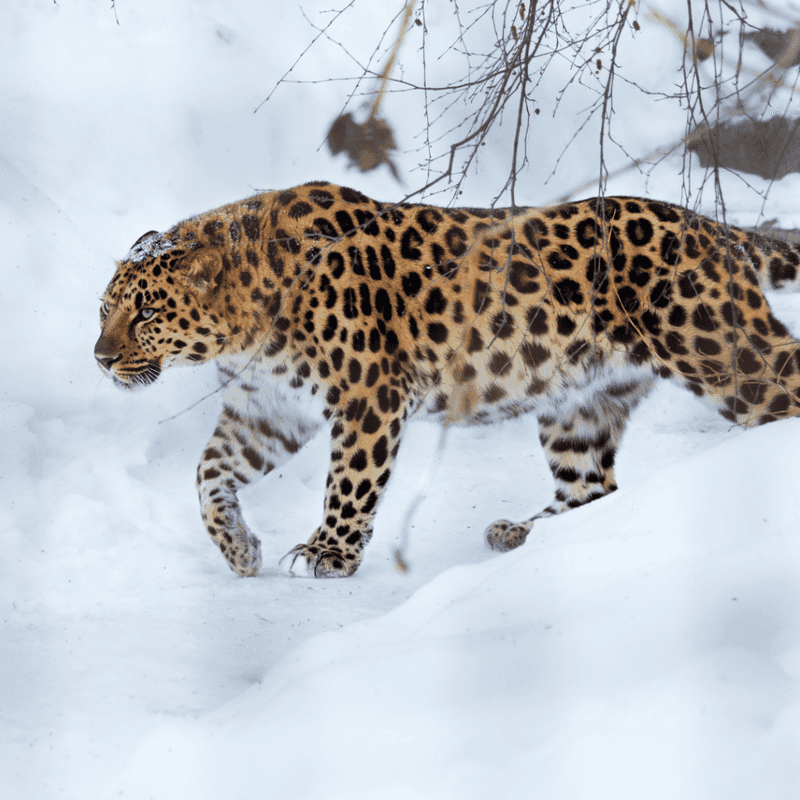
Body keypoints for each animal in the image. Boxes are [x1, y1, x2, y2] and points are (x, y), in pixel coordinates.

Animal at [97, 184, 800, 580]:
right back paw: (523, 533)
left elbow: (349, 482)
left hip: (723, 354)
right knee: (592, 488)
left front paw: (328, 553)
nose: (100, 358)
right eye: (104, 310)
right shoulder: (267, 408)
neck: (247, 332)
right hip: (578, 405)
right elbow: (209, 474)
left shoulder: (370, 396)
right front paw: (240, 550)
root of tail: (713, 227)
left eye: (147, 313)